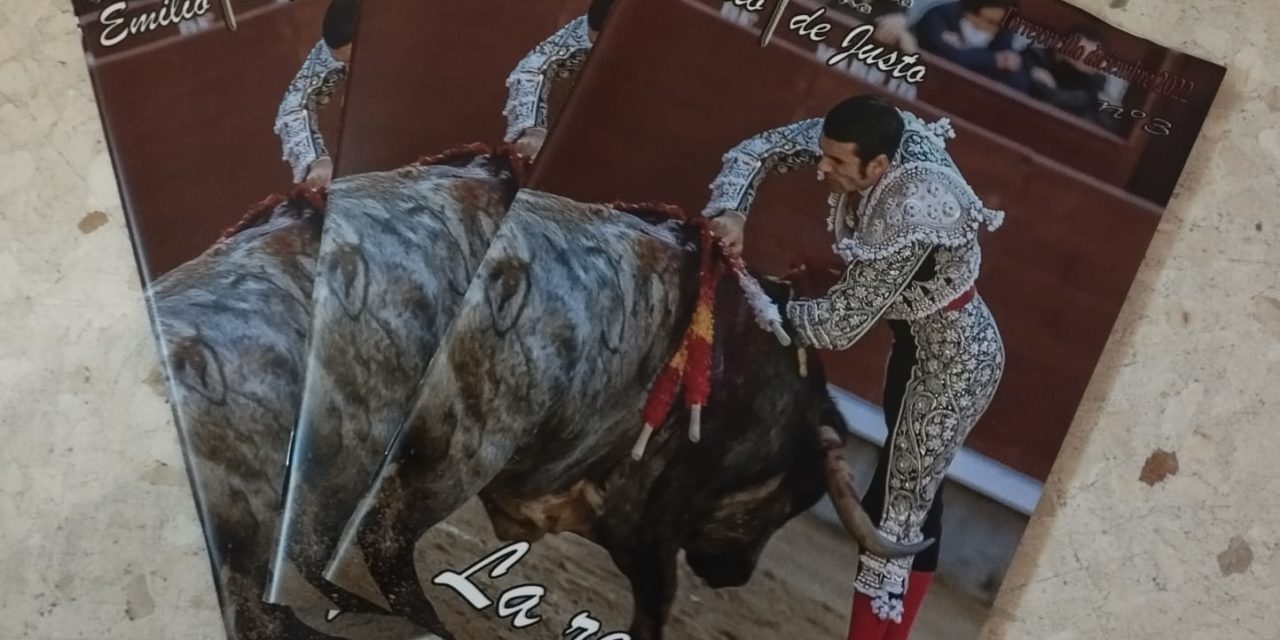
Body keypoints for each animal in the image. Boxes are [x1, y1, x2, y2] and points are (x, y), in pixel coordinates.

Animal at [318, 189, 921, 640]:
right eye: (796, 499)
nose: (736, 574)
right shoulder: (656, 518)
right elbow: (656, 602)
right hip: (467, 452)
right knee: (386, 536)